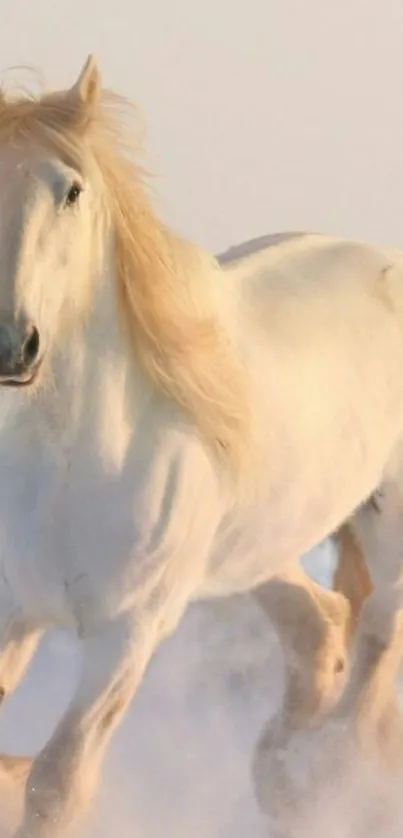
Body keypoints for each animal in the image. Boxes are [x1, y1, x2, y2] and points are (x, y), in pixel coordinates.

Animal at [0, 55, 403, 836]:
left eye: (71, 191)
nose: (11, 345)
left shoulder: (127, 635)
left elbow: (55, 784)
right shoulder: (13, 611)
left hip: (386, 523)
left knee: (375, 631)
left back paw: (328, 779)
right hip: (260, 544)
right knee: (321, 627)